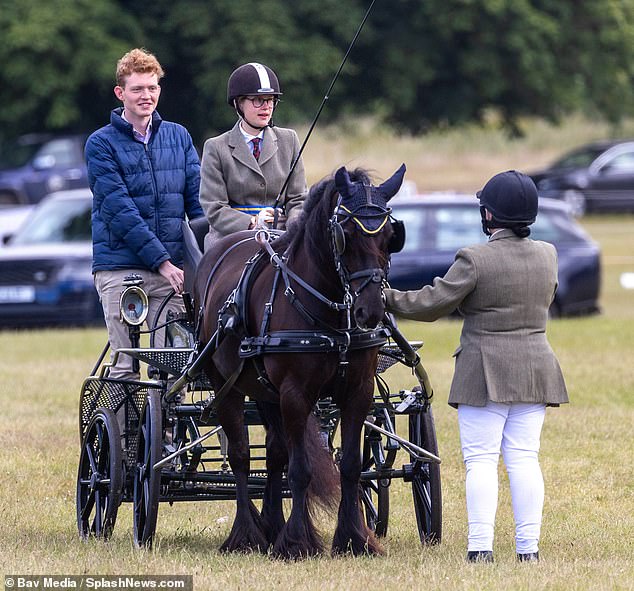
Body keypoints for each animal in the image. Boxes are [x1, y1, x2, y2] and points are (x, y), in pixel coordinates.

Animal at [193, 166, 404, 560]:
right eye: (347, 235)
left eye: (389, 236)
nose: (370, 311)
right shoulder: (295, 394)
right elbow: (301, 470)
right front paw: (296, 542)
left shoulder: (358, 392)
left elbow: (349, 466)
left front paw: (353, 538)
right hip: (225, 384)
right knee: (242, 457)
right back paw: (246, 535)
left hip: (264, 391)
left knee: (274, 454)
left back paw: (271, 525)